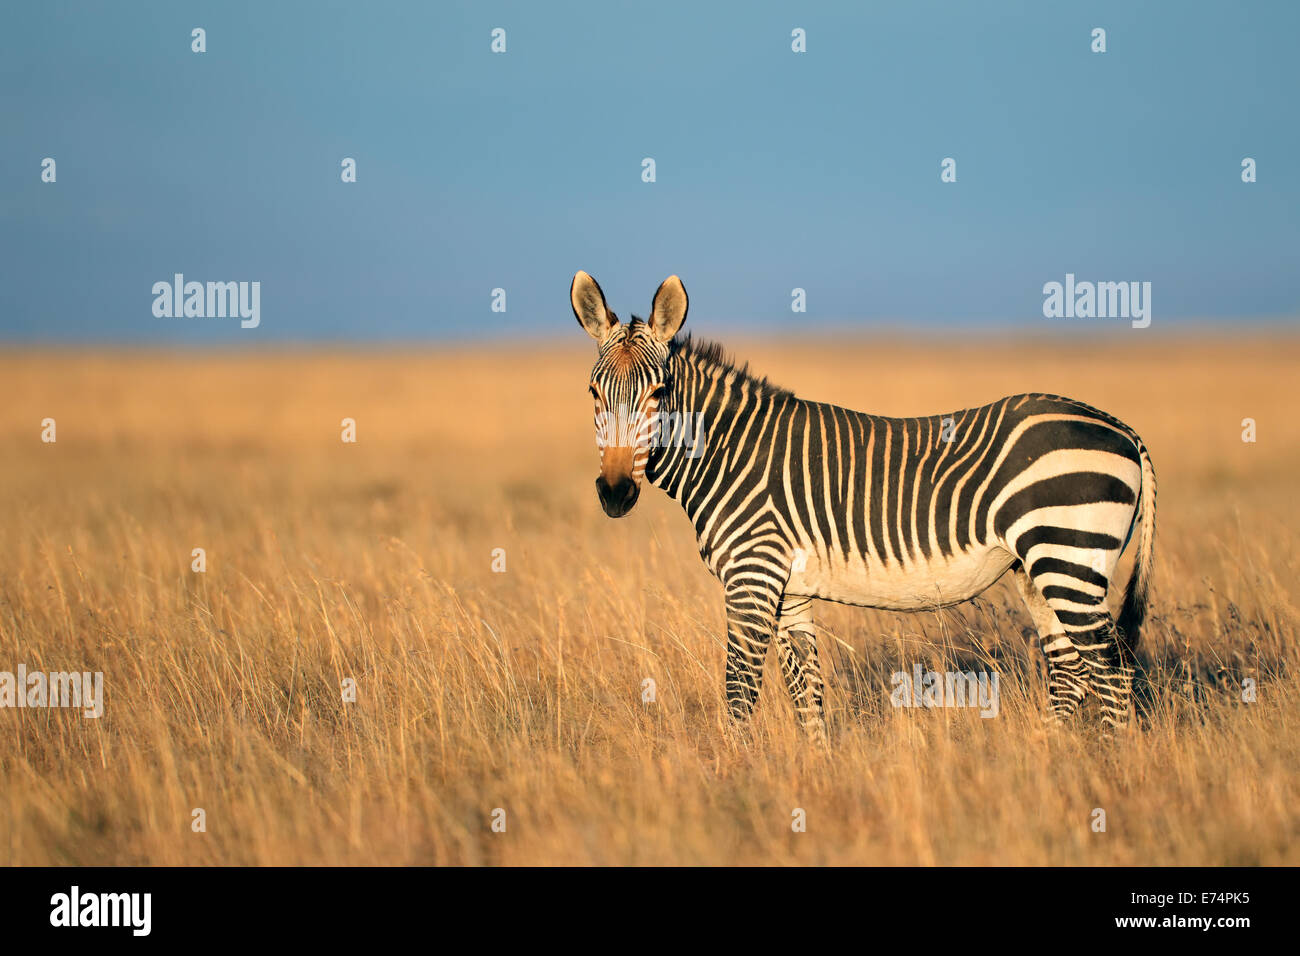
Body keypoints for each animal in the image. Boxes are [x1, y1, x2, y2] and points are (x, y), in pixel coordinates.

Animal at [572, 273, 1159, 743]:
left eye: (658, 393)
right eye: (594, 392)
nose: (615, 493)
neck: (729, 453)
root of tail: (1122, 428)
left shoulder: (751, 577)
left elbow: (740, 691)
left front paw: (732, 775)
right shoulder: (790, 591)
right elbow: (807, 692)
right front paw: (814, 773)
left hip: (1069, 557)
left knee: (1111, 670)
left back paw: (1109, 763)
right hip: (1038, 569)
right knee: (1072, 668)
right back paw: (1051, 756)